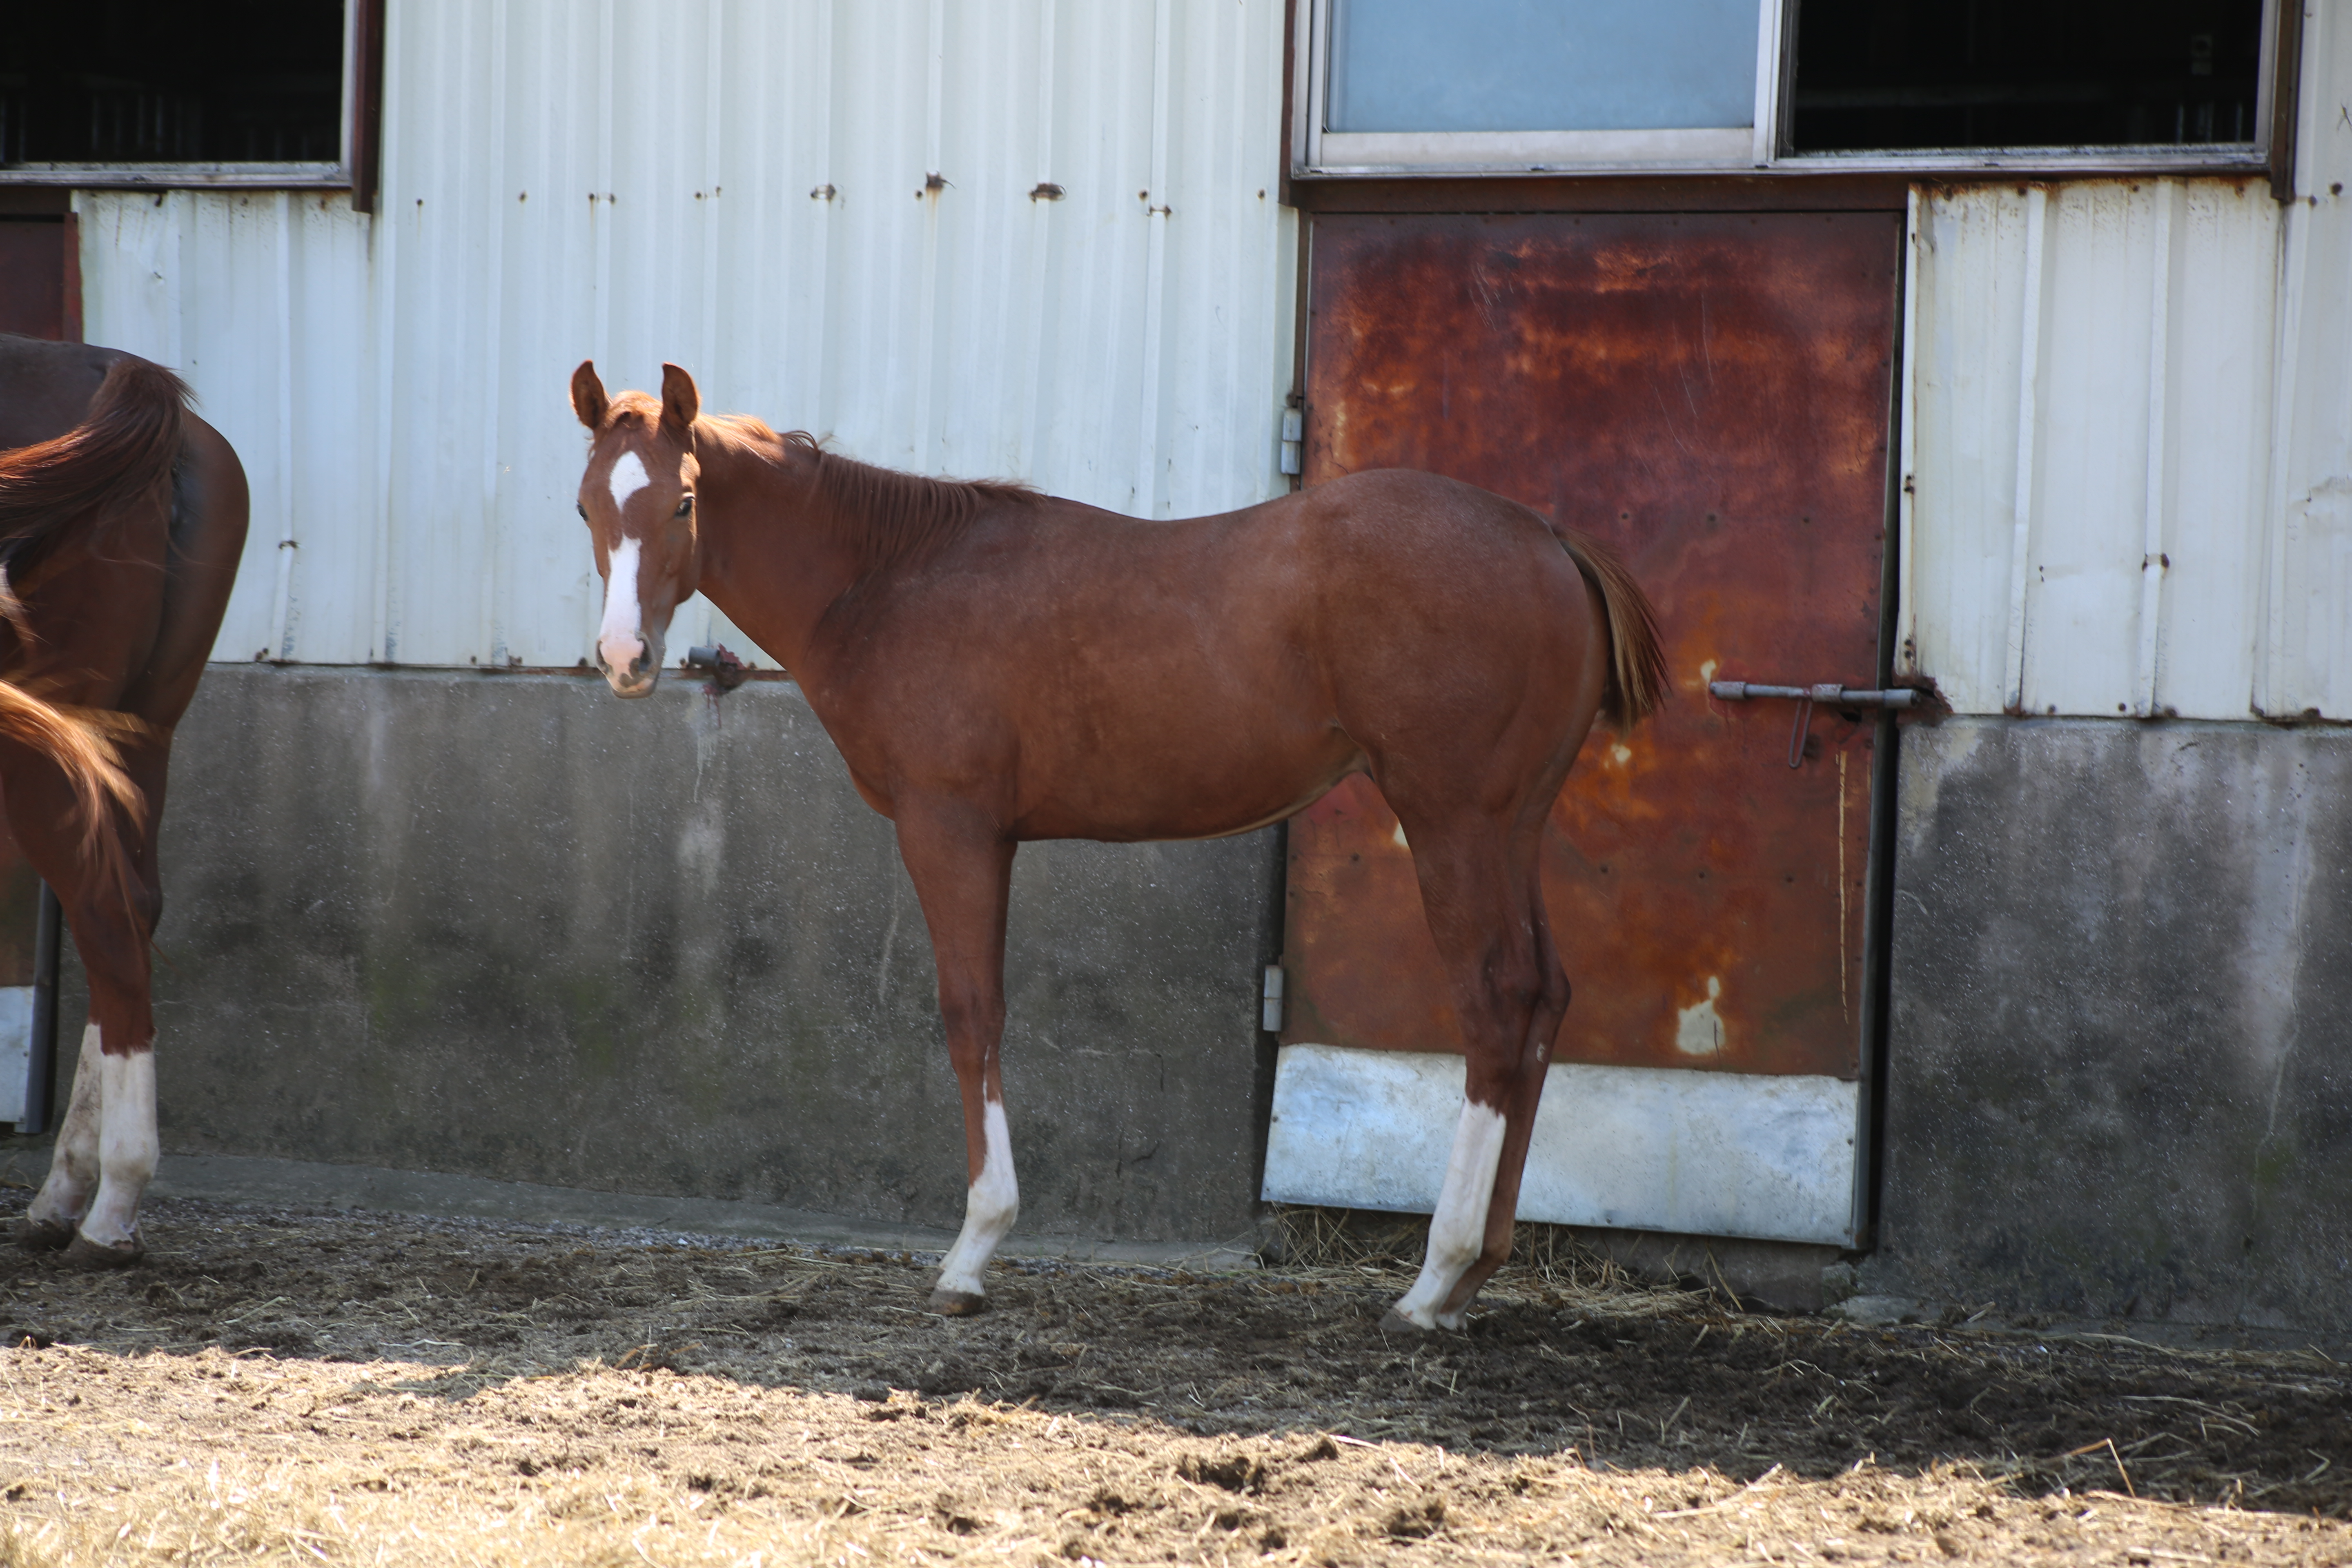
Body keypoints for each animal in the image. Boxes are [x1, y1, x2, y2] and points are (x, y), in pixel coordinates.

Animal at [576, 369, 1665, 1335]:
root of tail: (1545, 536)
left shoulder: (950, 828)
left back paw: (1433, 1282)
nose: (625, 660)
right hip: (1510, 825)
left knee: (1494, 1004)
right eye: (587, 503)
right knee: (1541, 998)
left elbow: (971, 1016)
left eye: (682, 501)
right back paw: (1473, 1276)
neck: (890, 576)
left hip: (1452, 819)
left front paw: (972, 1254)